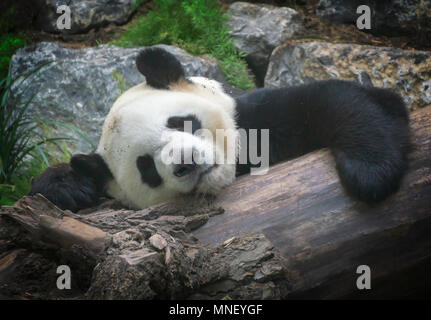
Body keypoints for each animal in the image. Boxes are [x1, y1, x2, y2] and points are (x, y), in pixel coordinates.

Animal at [28, 46, 414, 211]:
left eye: (180, 122)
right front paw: (69, 186)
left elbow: (331, 101)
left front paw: (369, 172)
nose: (185, 162)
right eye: (146, 167)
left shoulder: (255, 119)